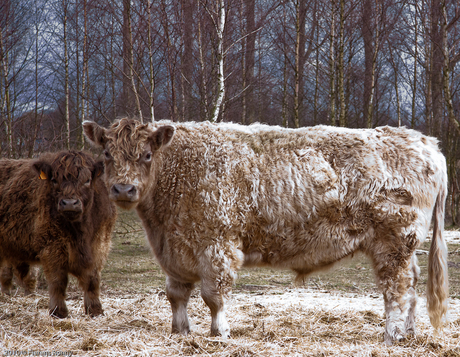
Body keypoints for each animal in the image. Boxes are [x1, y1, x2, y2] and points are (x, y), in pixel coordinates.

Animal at [0, 150, 117, 318]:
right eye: (54, 180)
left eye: (87, 180)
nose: (69, 203)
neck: (81, 233)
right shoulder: (52, 247)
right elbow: (58, 281)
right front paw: (58, 311)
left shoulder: (100, 245)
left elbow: (92, 280)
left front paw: (95, 310)